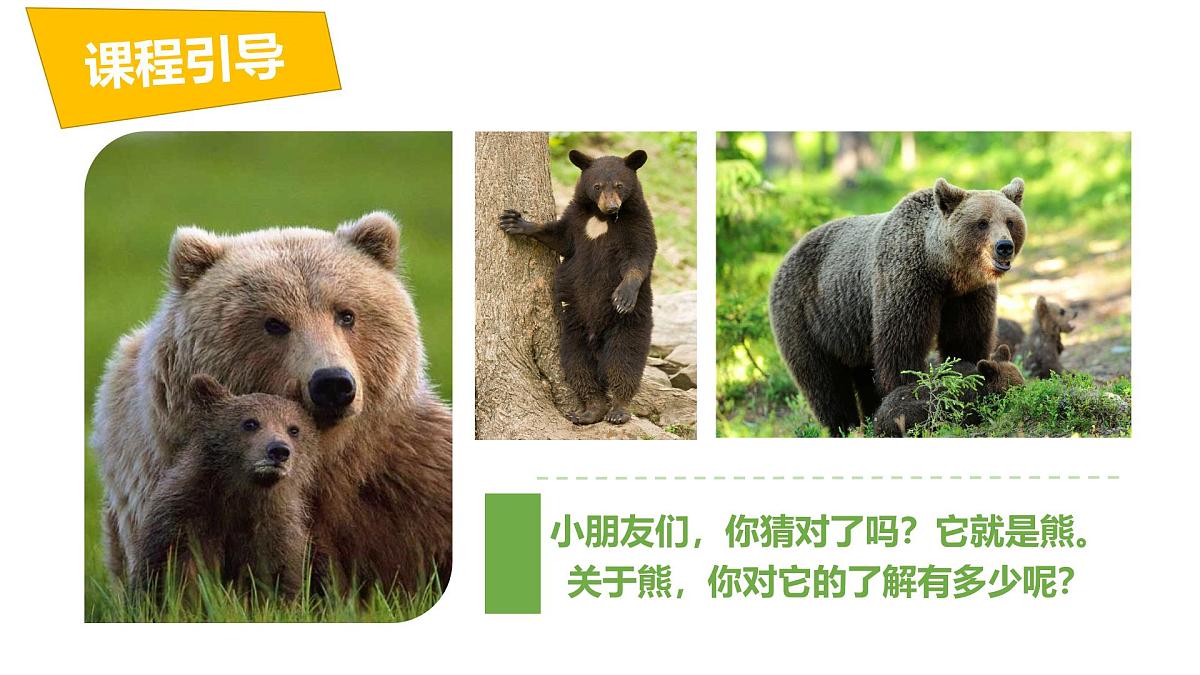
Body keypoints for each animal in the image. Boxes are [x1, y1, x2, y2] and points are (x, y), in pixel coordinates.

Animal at [131, 375, 317, 596]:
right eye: (250, 423)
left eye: (294, 429)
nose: (279, 450)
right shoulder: (184, 524)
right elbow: (180, 576)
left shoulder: (275, 534)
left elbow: (277, 580)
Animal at [498, 149, 656, 425]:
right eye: (597, 186)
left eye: (619, 185)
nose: (612, 206)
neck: (601, 218)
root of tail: (596, 336)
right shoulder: (575, 221)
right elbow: (559, 237)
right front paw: (517, 222)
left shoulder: (639, 223)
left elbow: (639, 257)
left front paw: (624, 294)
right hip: (574, 325)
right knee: (576, 363)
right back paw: (591, 409)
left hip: (630, 322)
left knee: (625, 358)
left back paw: (618, 408)